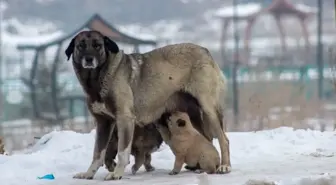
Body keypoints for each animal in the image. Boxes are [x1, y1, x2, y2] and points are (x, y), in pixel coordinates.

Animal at [64, 30, 230, 181]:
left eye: (97, 45)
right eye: (81, 46)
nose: (89, 59)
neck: (98, 78)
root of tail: (205, 51)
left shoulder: (124, 119)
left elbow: (122, 151)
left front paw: (117, 173)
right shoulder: (103, 123)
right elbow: (98, 153)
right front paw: (88, 174)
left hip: (208, 109)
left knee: (223, 139)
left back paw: (224, 166)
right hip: (192, 113)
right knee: (207, 138)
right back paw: (198, 166)